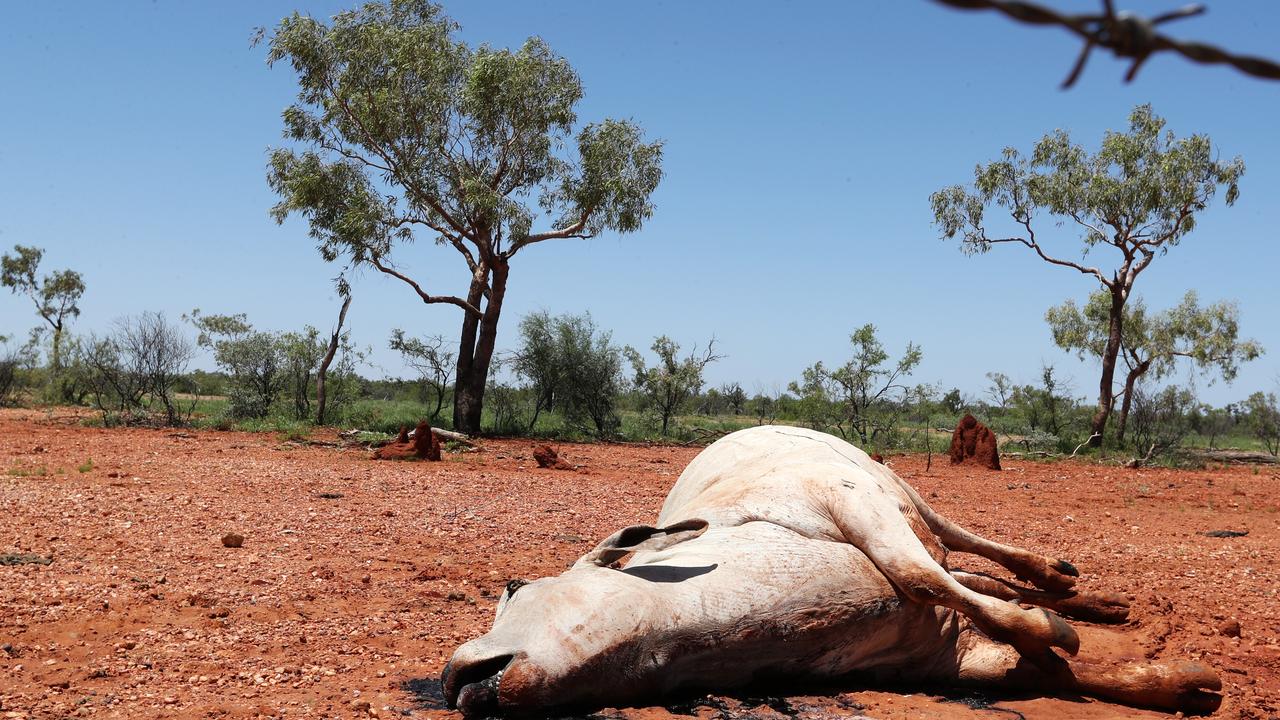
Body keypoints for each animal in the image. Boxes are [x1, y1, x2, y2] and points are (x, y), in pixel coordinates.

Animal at [442, 425, 1218, 712]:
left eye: (513, 587)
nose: (450, 676)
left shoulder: (852, 505)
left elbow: (924, 579)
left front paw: (1056, 631)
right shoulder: (948, 658)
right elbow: (1050, 669)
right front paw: (1180, 681)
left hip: (902, 494)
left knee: (972, 552)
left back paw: (1059, 581)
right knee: (979, 578)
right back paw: (1100, 606)